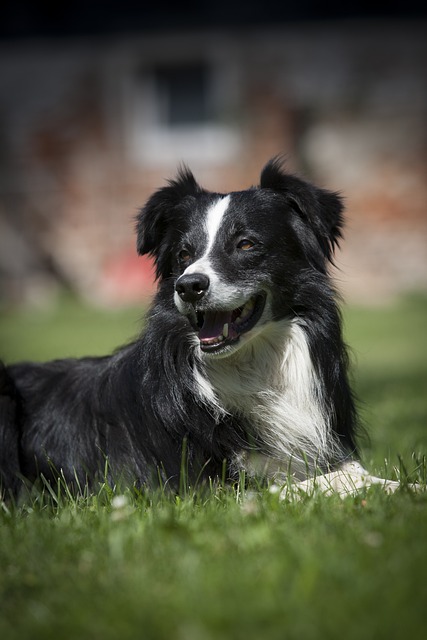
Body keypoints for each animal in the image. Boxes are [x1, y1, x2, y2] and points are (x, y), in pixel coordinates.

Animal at [0, 158, 402, 498]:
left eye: (245, 244)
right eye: (183, 254)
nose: (189, 286)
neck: (251, 366)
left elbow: (352, 471)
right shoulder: (203, 488)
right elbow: (324, 482)